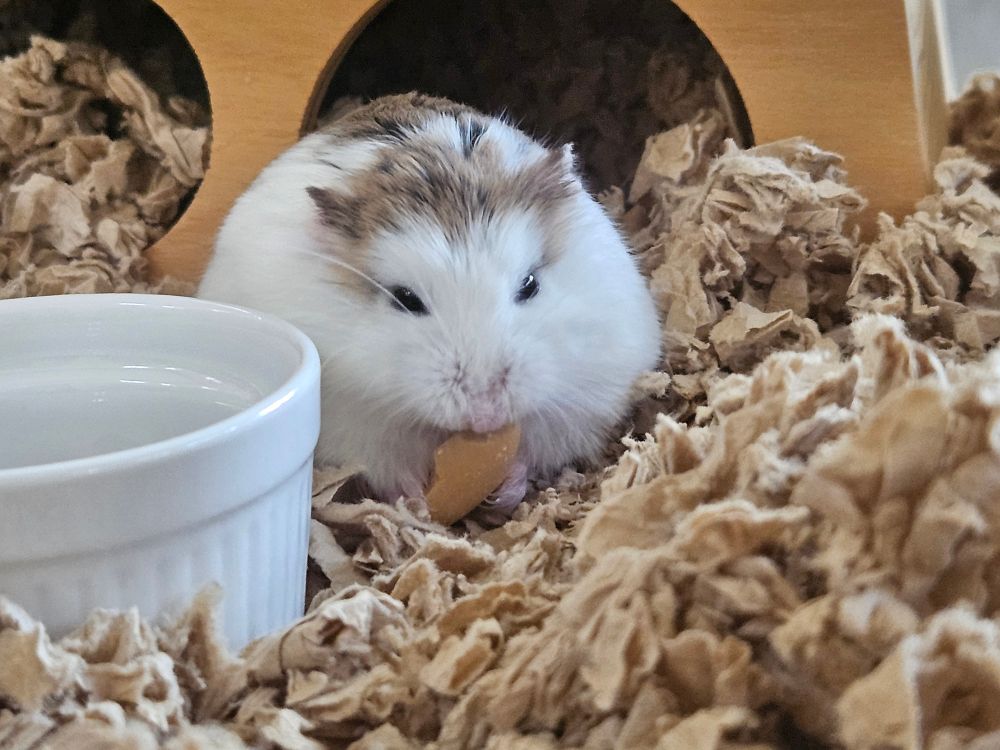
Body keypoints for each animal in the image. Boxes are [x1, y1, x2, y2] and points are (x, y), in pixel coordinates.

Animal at [197, 92, 662, 513]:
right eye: (405, 299)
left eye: (529, 285)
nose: (486, 415)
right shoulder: (353, 419)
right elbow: (386, 467)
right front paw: (417, 501)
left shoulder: (586, 395)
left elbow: (536, 450)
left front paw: (505, 489)